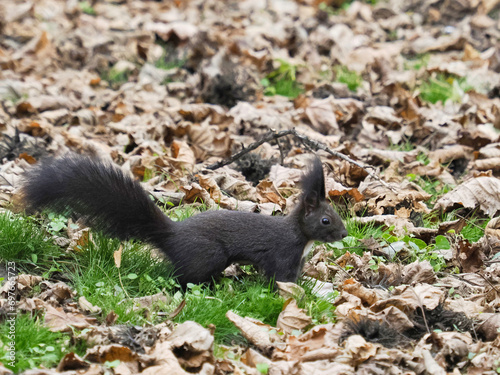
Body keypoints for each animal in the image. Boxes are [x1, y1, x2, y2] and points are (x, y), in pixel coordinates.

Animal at [20, 154, 348, 286]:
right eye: (326, 221)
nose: (345, 234)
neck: (300, 236)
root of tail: (171, 235)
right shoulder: (282, 255)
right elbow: (281, 279)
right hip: (208, 255)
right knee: (182, 277)